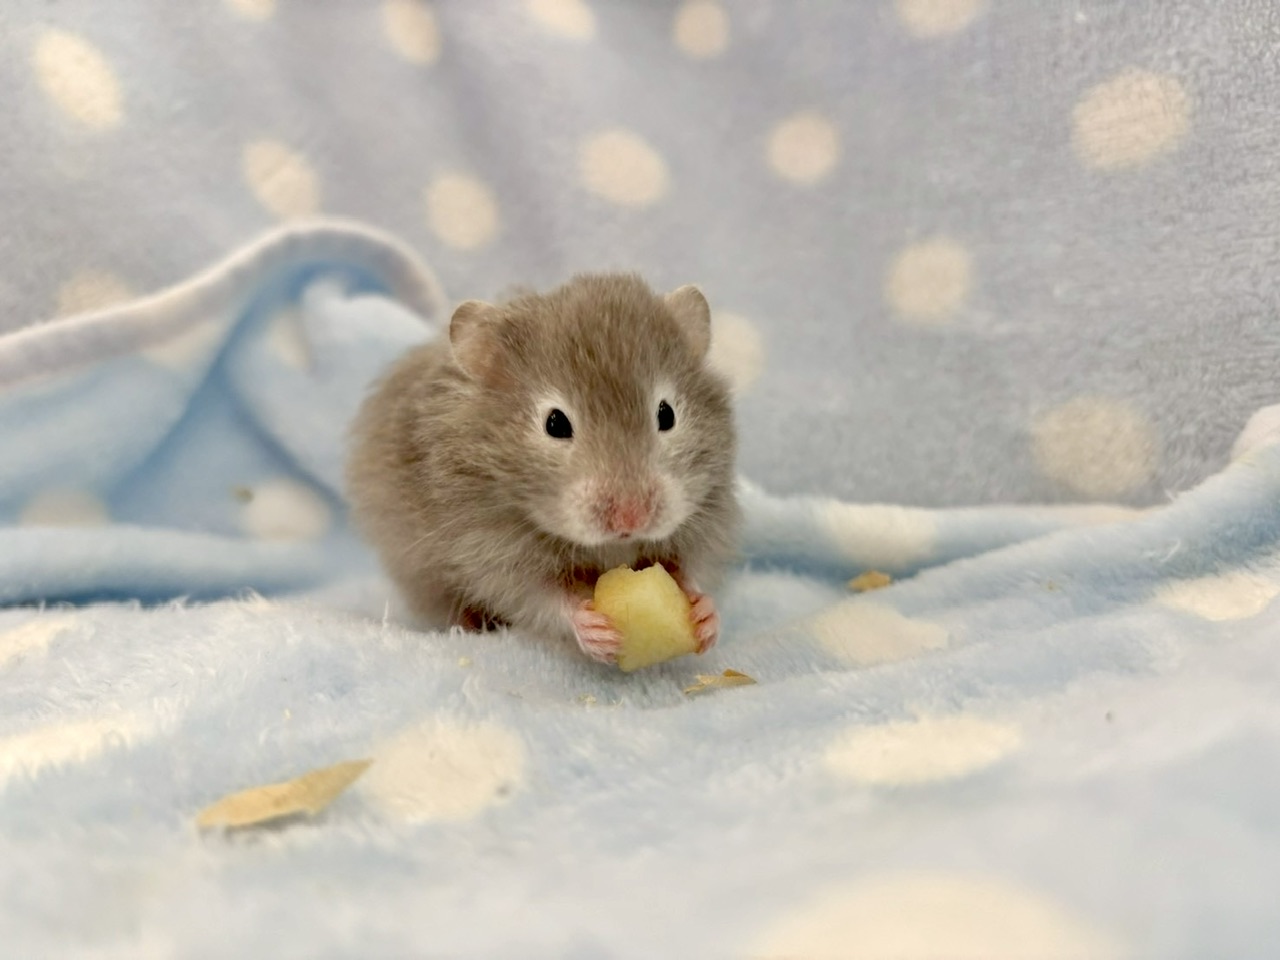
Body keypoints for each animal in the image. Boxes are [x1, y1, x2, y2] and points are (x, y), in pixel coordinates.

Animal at [345, 273, 740, 665]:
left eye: (666, 414)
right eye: (555, 423)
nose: (631, 519)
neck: (611, 548)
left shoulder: (705, 519)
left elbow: (689, 570)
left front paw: (705, 615)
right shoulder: (493, 554)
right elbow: (542, 599)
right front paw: (594, 630)